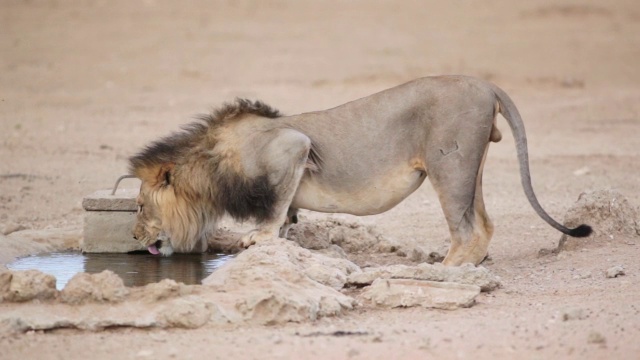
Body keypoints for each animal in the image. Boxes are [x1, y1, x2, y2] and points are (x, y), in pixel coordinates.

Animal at [129, 76, 592, 266]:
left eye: (138, 206)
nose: (133, 237)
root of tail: (486, 84)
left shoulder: (292, 146)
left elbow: (274, 210)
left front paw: (257, 238)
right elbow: (288, 215)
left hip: (450, 162)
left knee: (467, 229)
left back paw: (444, 271)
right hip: (469, 166)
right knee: (484, 223)